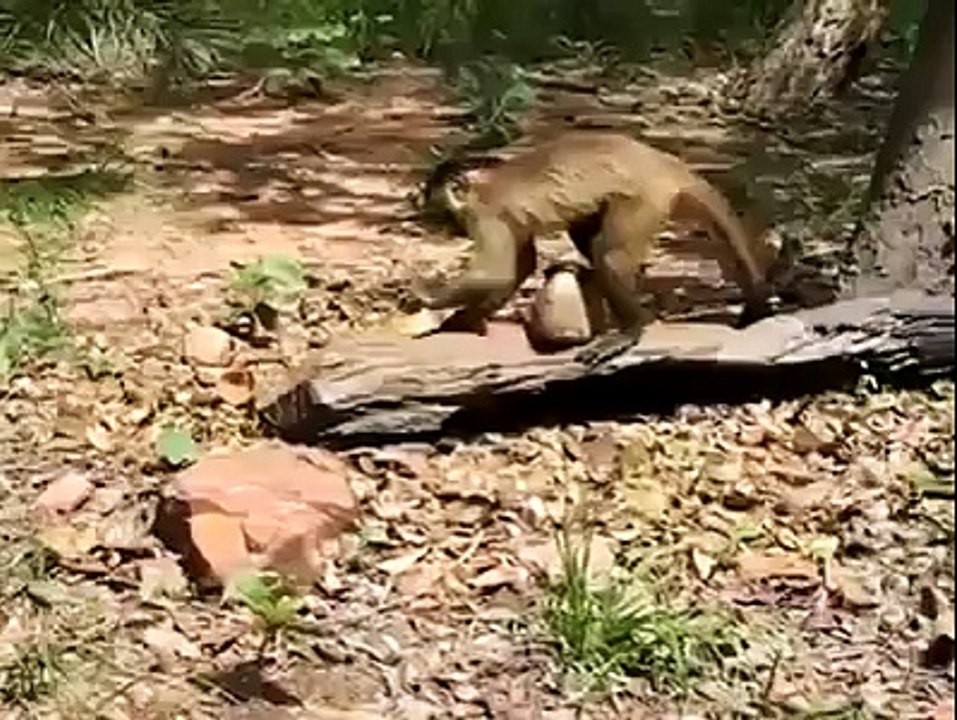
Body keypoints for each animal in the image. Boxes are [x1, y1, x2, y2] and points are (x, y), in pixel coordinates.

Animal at [414, 132, 779, 339]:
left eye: (439, 209)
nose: (437, 223)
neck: (480, 185)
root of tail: (665, 164)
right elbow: (520, 266)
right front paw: (465, 319)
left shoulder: (484, 212)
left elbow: (497, 272)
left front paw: (424, 296)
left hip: (645, 197)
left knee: (610, 255)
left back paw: (631, 328)